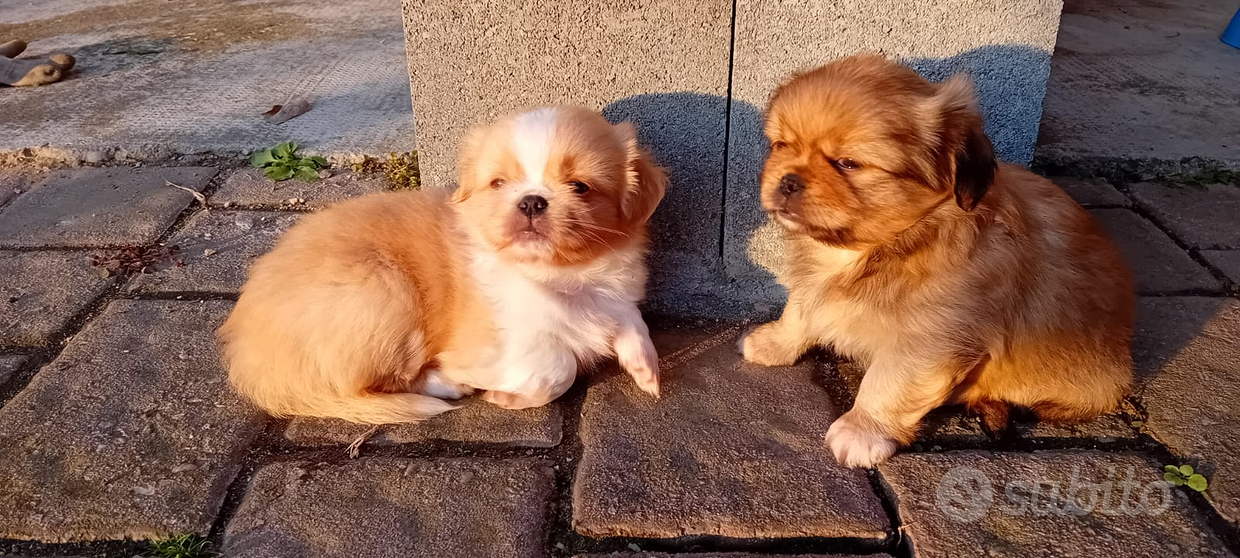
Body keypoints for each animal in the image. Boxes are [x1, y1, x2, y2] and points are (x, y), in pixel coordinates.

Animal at [223, 106, 669, 424]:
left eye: (580, 186)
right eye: (498, 184)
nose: (531, 201)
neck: (562, 275)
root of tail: (249, 359)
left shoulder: (615, 297)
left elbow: (632, 320)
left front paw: (645, 369)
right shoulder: (495, 340)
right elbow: (558, 367)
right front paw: (501, 393)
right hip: (385, 293)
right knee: (370, 383)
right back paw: (449, 384)